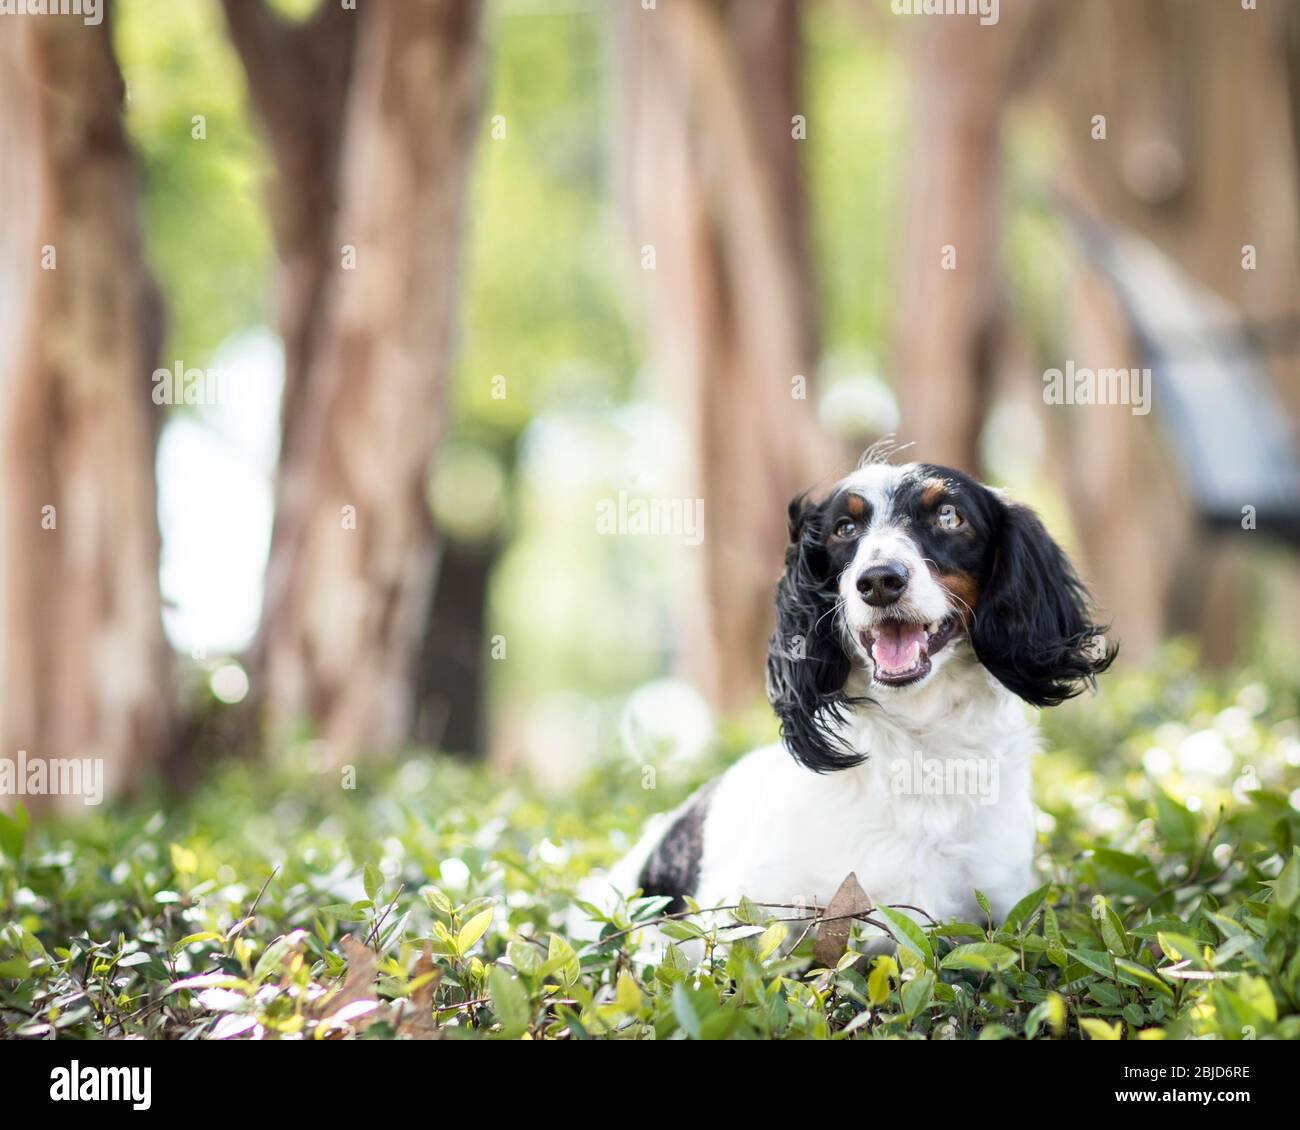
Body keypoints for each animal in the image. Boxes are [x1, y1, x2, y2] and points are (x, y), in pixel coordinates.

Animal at [574, 455, 1112, 941]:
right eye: (844, 528)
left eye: (948, 516)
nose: (879, 580)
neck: (919, 747)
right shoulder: (736, 916)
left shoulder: (1003, 909)